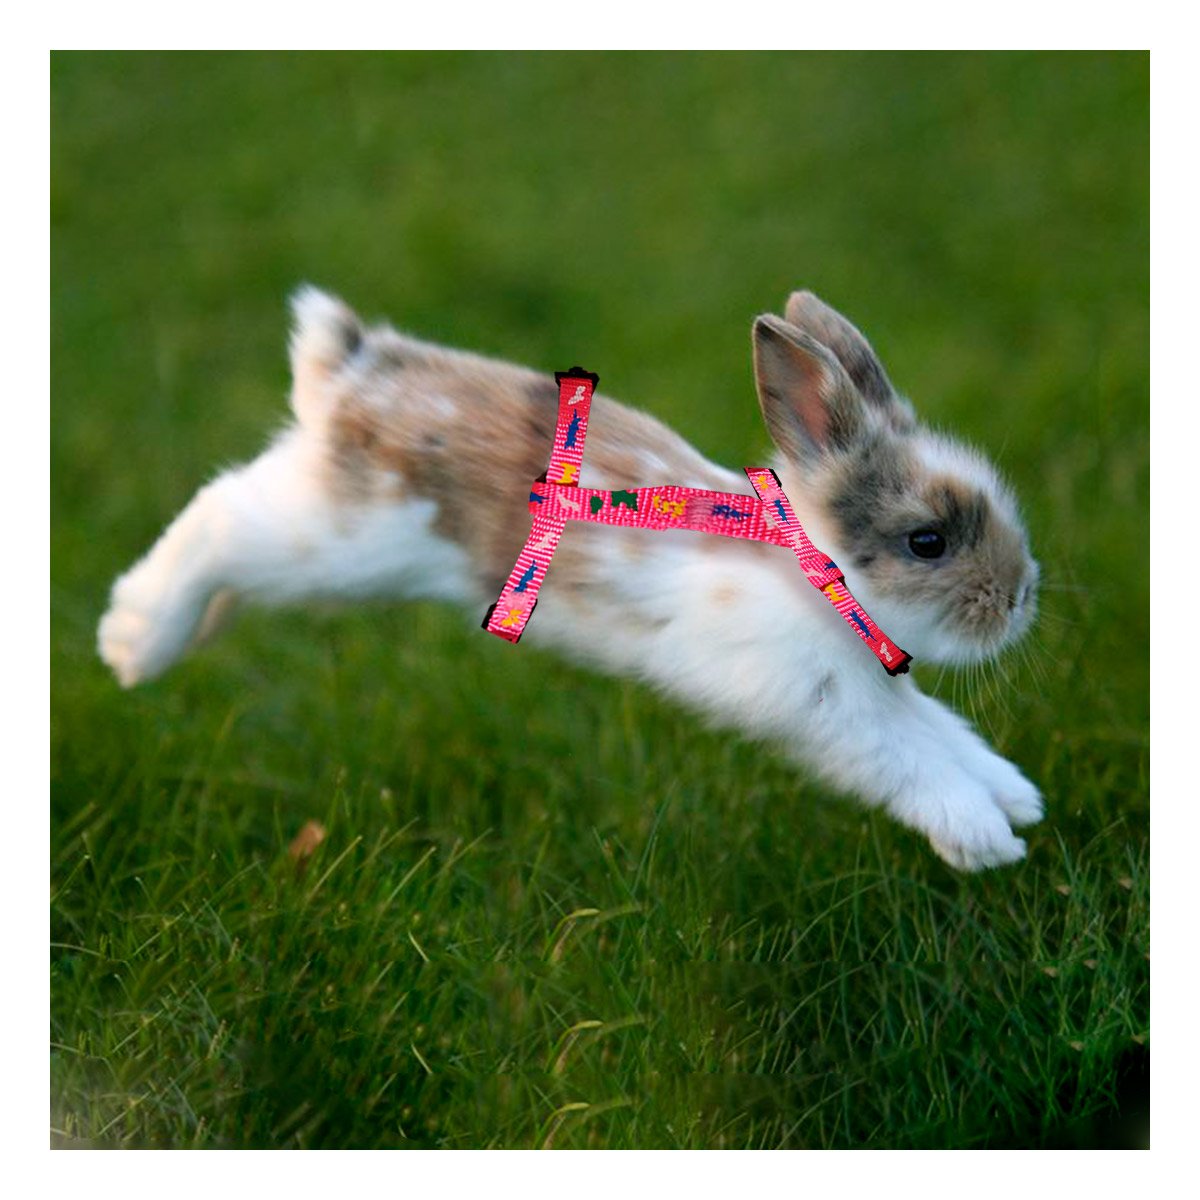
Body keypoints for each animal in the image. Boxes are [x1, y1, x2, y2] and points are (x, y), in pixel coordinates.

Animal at [97, 287, 1042, 871]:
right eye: (927, 541)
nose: (1021, 598)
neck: (809, 573)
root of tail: (351, 371)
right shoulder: (821, 703)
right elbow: (902, 761)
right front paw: (981, 839)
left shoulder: (879, 694)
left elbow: (941, 736)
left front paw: (1017, 802)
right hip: (337, 539)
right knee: (219, 517)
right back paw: (133, 644)